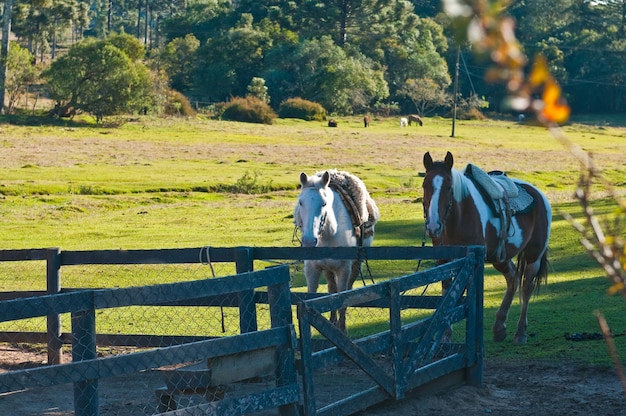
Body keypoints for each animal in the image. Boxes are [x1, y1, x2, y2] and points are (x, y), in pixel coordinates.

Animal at [420, 150, 552, 344]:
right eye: (424, 185)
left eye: (449, 187)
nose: (433, 226)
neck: (459, 217)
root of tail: (539, 195)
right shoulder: (444, 260)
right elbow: (447, 294)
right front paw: (445, 336)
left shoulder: (471, 261)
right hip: (501, 258)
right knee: (513, 278)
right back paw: (499, 328)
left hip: (533, 256)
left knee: (526, 287)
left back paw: (520, 333)